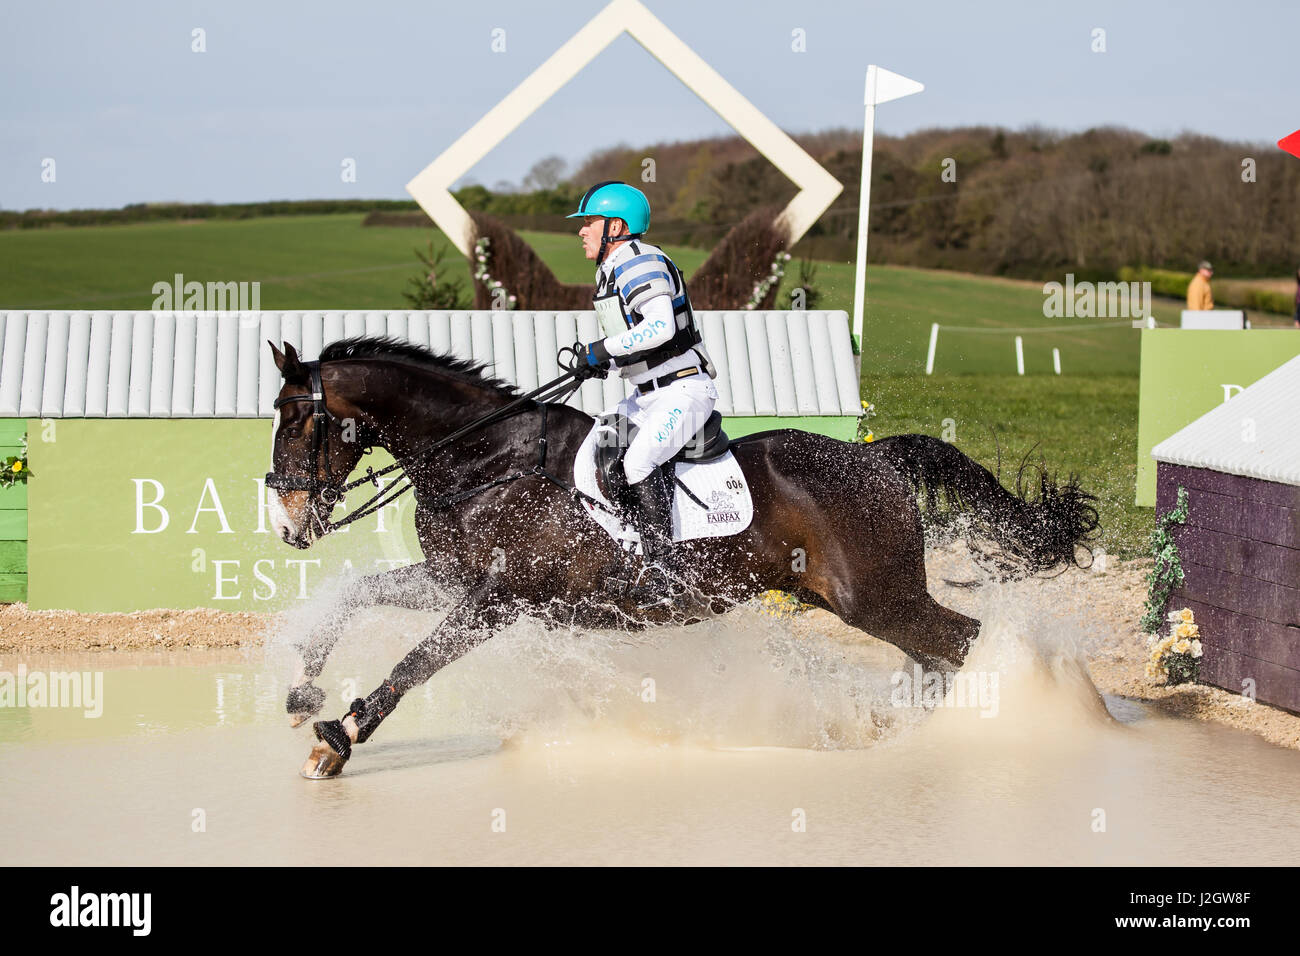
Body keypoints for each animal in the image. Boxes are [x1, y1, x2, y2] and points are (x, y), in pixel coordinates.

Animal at [263, 335, 1097, 780]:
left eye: (296, 421)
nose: (291, 525)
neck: (484, 458)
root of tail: (876, 457)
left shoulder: (495, 601)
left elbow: (414, 664)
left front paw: (339, 738)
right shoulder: (453, 582)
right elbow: (352, 596)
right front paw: (304, 688)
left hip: (880, 597)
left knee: (967, 640)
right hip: (854, 602)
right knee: (938, 654)